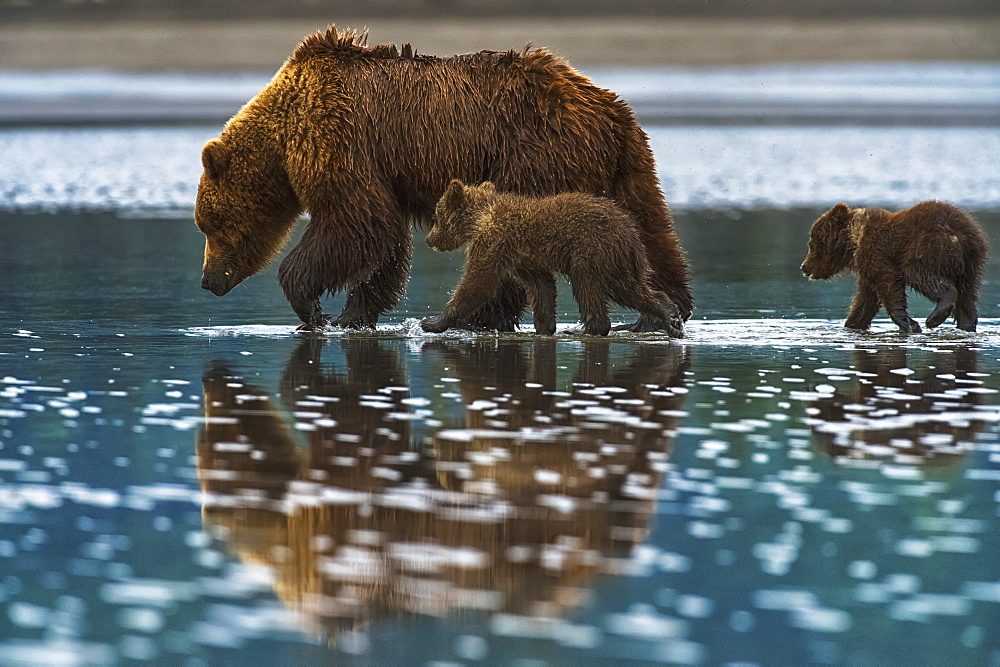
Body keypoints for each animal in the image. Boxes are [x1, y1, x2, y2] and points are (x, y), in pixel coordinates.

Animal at [191, 26, 692, 334]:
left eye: (209, 224)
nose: (207, 280)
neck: (283, 137)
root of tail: (607, 105)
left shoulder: (338, 136)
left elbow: (355, 222)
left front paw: (311, 308)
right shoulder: (380, 167)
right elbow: (384, 239)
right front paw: (354, 314)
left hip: (534, 151)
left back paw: (484, 316)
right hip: (622, 165)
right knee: (651, 225)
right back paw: (662, 310)